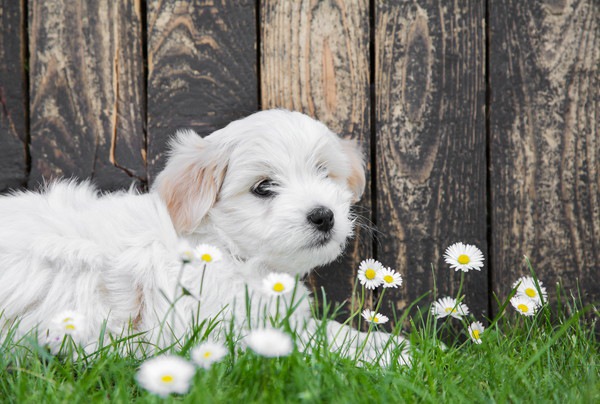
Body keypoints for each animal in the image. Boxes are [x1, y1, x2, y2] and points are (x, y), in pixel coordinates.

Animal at [0, 109, 406, 362]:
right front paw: (389, 357)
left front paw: (390, 346)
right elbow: (309, 344)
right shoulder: (218, 330)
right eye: (263, 187)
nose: (324, 215)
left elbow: (325, 330)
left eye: (324, 172)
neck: (227, 250)